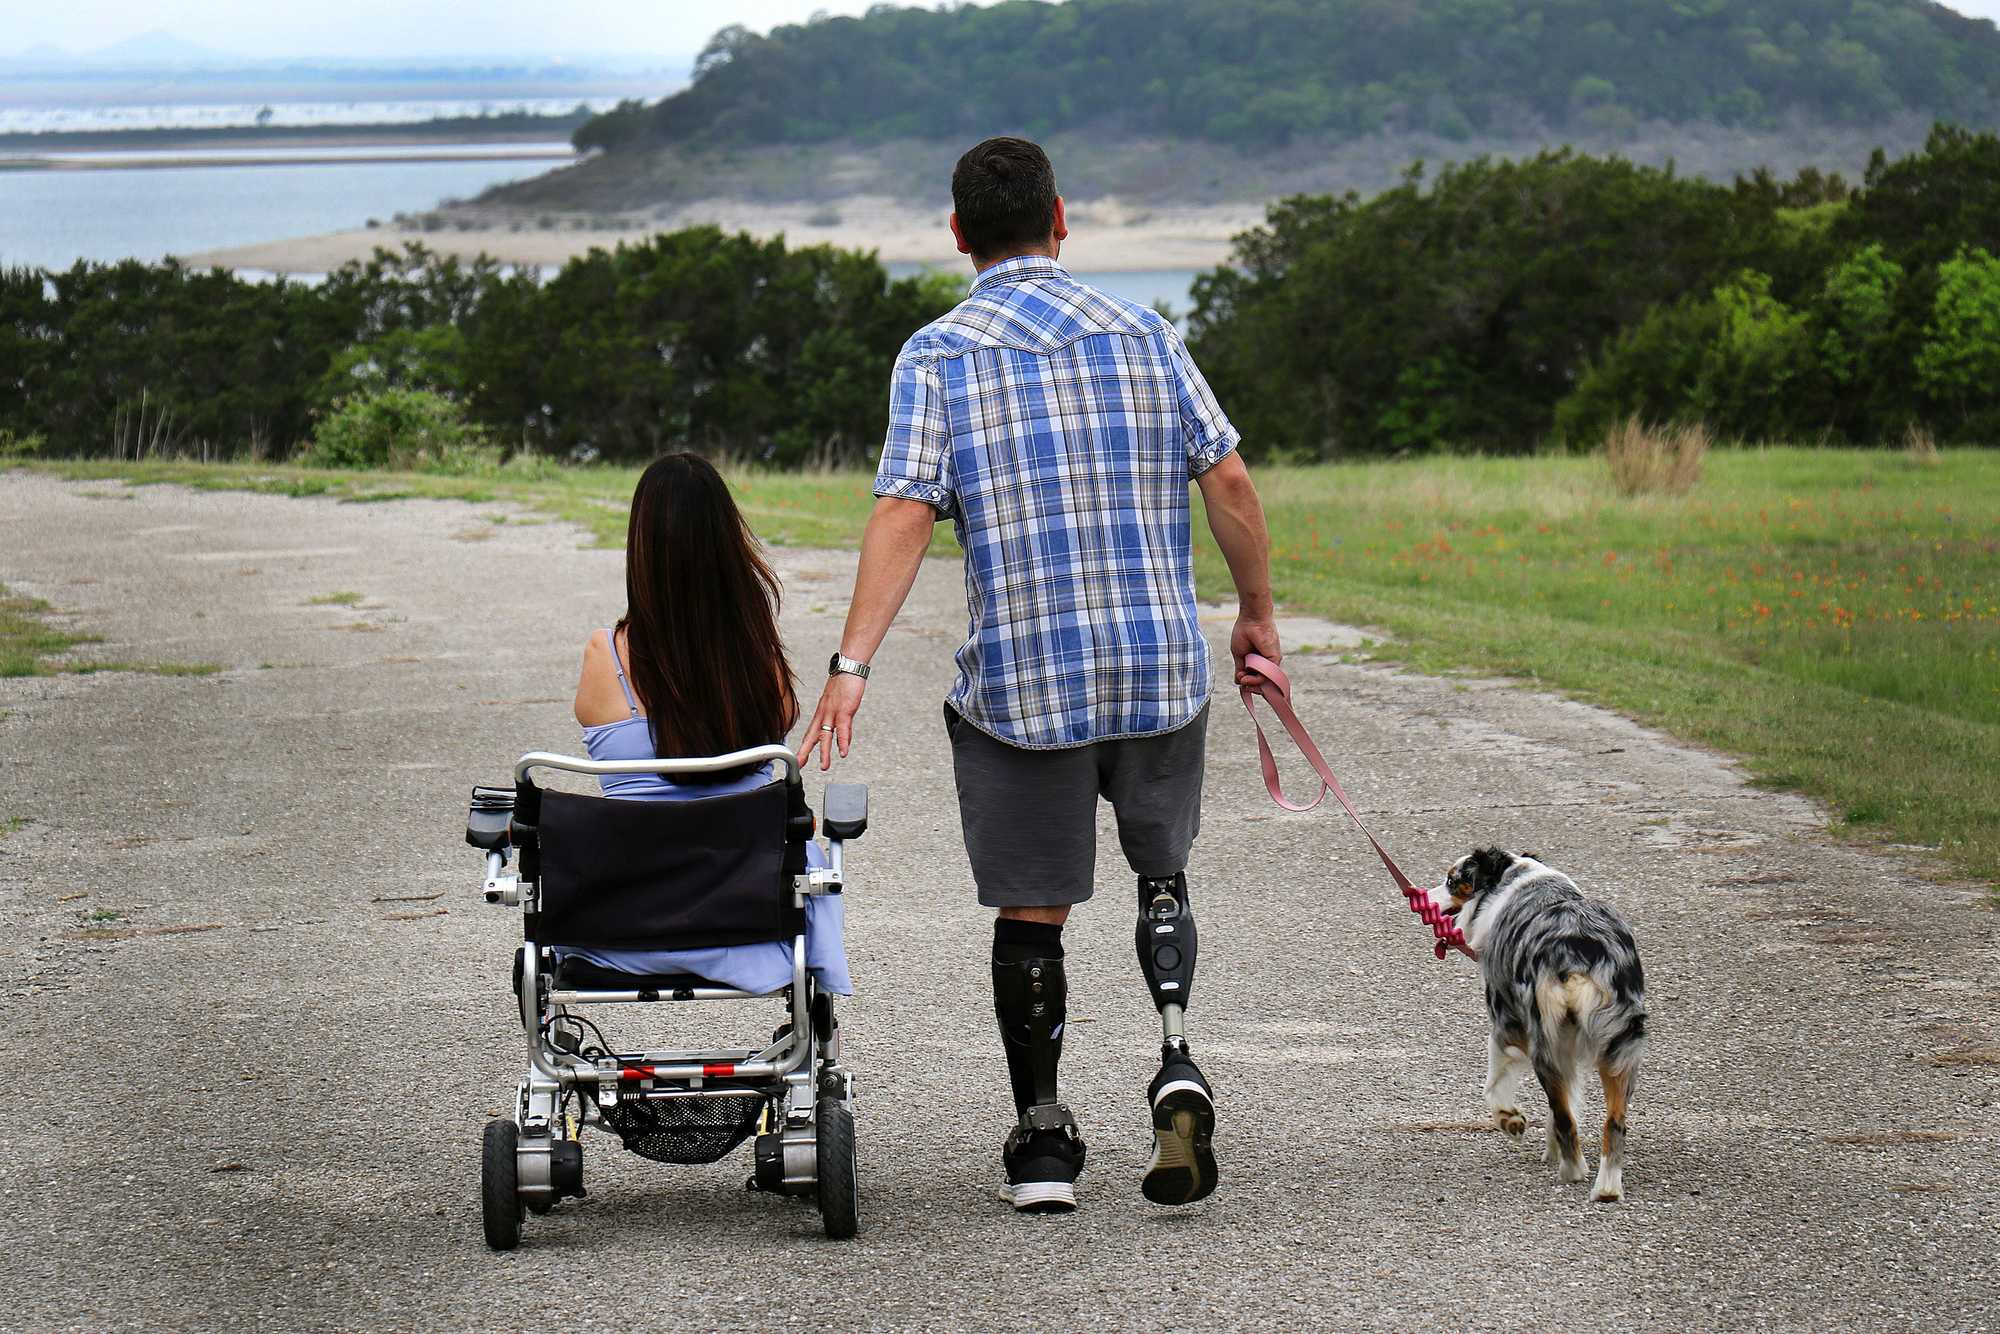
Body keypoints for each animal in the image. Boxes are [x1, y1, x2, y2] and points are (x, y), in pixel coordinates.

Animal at [1432, 852, 1648, 1208]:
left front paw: (1509, 1119)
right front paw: (1551, 1148)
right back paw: (1606, 1187)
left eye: (1452, 880)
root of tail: (1577, 950)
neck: (1516, 879)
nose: (1425, 895)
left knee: (1564, 1116)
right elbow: (1570, 1099)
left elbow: (1494, 1085)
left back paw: (1573, 1170)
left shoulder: (1505, 1024)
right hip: (1619, 1046)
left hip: (1544, 1040)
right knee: (1613, 1122)